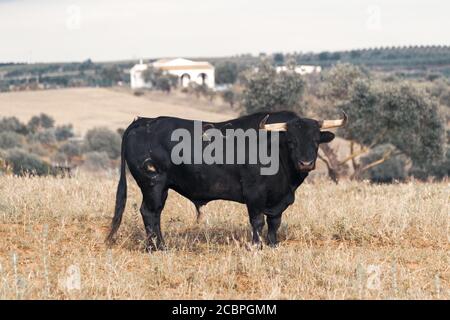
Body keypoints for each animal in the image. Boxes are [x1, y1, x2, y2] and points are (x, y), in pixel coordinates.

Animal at [107, 111, 346, 249]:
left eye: (316, 140)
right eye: (291, 141)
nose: (306, 163)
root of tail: (143, 122)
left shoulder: (278, 200)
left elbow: (274, 223)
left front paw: (273, 245)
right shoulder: (254, 194)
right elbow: (257, 222)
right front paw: (256, 246)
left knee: (153, 215)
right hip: (153, 184)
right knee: (150, 213)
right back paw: (156, 248)